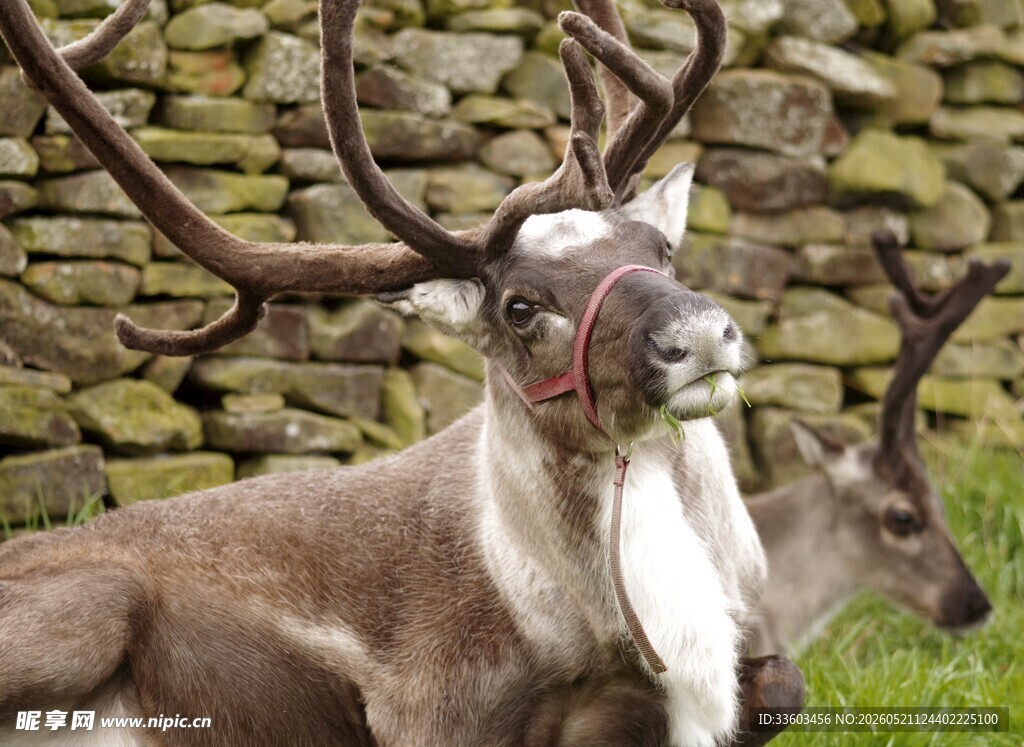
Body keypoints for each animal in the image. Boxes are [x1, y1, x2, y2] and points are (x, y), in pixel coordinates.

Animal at [0, 0, 804, 745]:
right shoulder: (428, 702)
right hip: (95, 606)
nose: (697, 335)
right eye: (519, 305)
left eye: (659, 248)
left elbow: (785, 683)